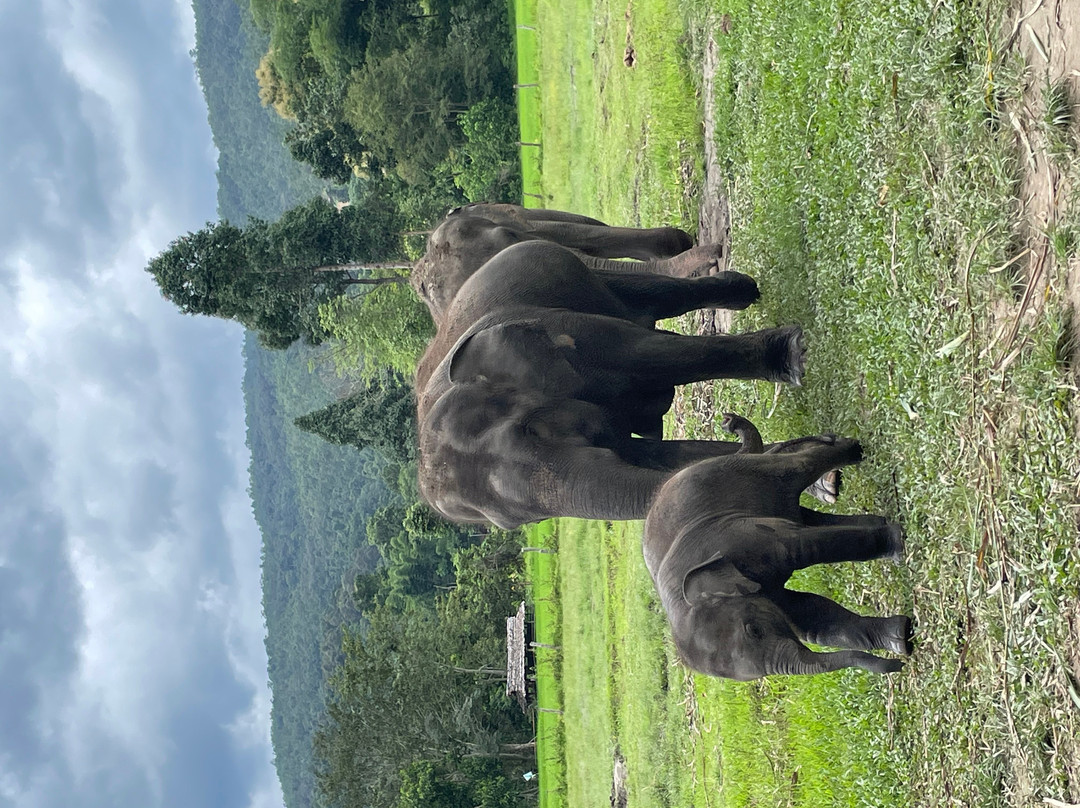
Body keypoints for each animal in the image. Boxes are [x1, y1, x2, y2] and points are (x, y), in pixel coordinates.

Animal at [417, 241, 811, 528]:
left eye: (532, 431)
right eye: (518, 523)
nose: (731, 423)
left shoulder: (565, 333)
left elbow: (649, 354)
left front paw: (791, 355)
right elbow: (659, 456)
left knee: (662, 296)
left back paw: (745, 292)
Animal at [643, 421, 912, 680]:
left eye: (755, 630)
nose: (896, 666)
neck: (682, 600)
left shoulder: (740, 538)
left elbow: (806, 547)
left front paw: (899, 544)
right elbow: (813, 618)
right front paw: (900, 638)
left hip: (749, 471)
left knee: (799, 467)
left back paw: (853, 450)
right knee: (809, 516)